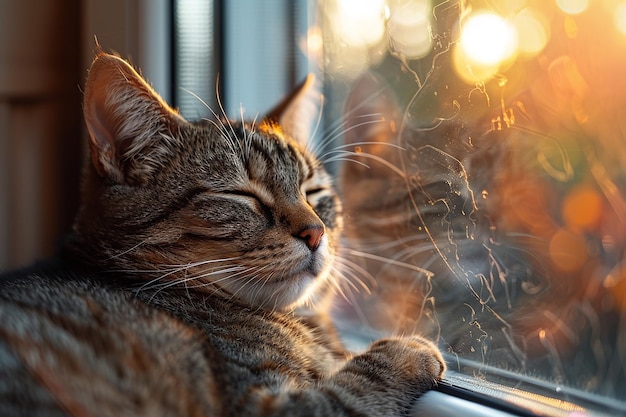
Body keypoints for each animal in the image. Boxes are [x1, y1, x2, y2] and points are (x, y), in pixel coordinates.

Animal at [0, 52, 444, 416]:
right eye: (240, 195)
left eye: (314, 192)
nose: (316, 233)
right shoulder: (263, 404)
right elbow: (353, 386)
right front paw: (409, 349)